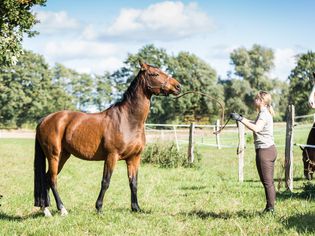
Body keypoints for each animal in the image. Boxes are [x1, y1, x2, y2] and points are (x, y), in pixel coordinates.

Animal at [33, 61, 181, 217]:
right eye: (155, 74)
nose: (178, 86)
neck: (128, 120)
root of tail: (45, 119)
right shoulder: (112, 156)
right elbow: (106, 182)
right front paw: (99, 208)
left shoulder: (134, 158)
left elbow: (133, 183)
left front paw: (136, 208)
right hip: (54, 156)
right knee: (52, 179)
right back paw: (62, 209)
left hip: (63, 156)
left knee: (46, 179)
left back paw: (46, 210)